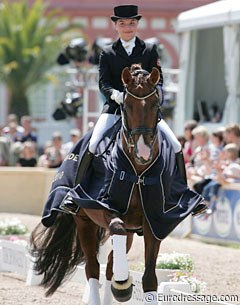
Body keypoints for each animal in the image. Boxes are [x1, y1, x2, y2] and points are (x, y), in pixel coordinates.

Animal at [30, 63, 202, 302]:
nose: (143, 152)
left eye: (156, 104)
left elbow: (150, 278)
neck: (137, 171)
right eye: (126, 106)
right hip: (84, 221)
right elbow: (116, 229)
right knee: (93, 267)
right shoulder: (104, 206)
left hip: (129, 229)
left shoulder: (155, 220)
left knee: (110, 265)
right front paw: (123, 284)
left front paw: (125, 284)